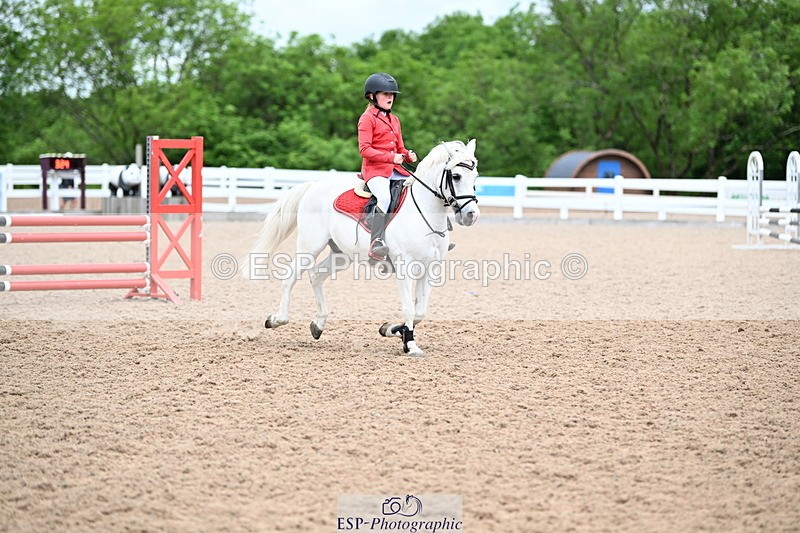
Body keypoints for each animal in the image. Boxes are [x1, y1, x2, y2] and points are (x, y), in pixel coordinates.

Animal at [242, 139, 481, 356]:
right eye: (456, 176)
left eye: (476, 177)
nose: (471, 215)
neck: (423, 212)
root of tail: (314, 185)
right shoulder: (405, 267)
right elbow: (409, 308)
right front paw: (410, 345)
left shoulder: (430, 268)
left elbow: (420, 311)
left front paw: (392, 330)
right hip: (310, 246)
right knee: (290, 277)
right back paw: (277, 319)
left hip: (341, 255)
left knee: (316, 276)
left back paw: (318, 324)